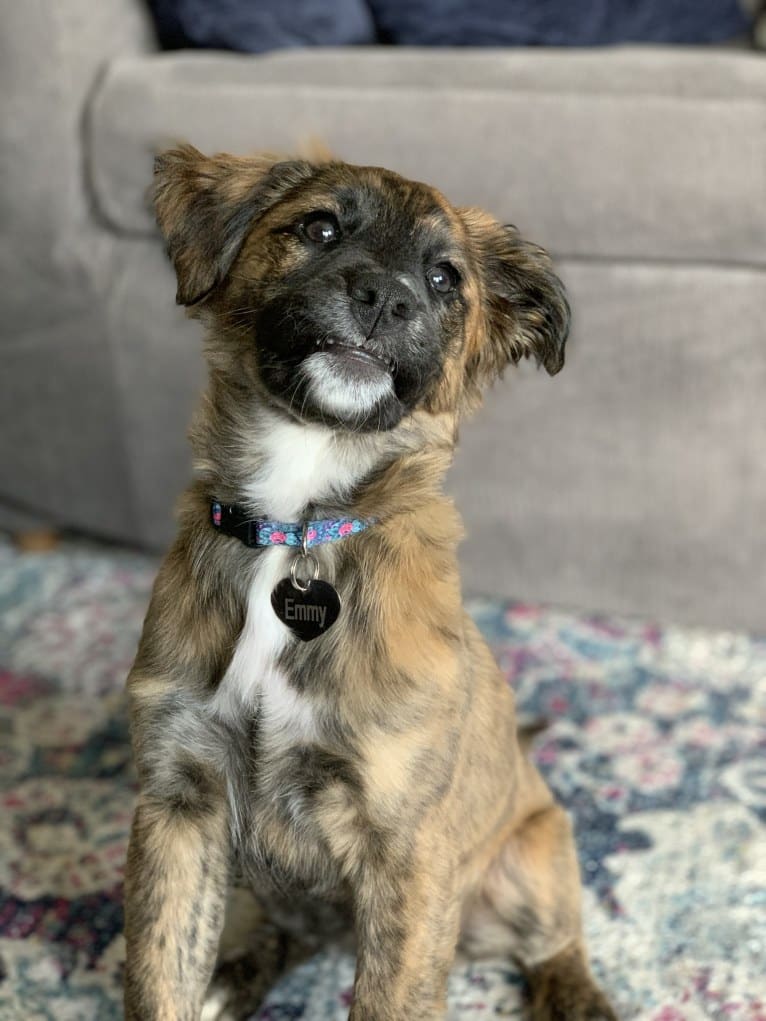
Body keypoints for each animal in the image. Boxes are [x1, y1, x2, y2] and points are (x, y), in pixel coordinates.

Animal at [124, 146, 616, 1021]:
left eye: (445, 278)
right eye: (320, 228)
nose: (387, 298)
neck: (297, 526)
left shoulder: (405, 849)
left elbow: (394, 997)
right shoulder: (178, 801)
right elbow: (159, 976)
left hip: (529, 865)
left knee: (557, 942)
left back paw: (578, 997)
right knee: (294, 928)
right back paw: (238, 969)